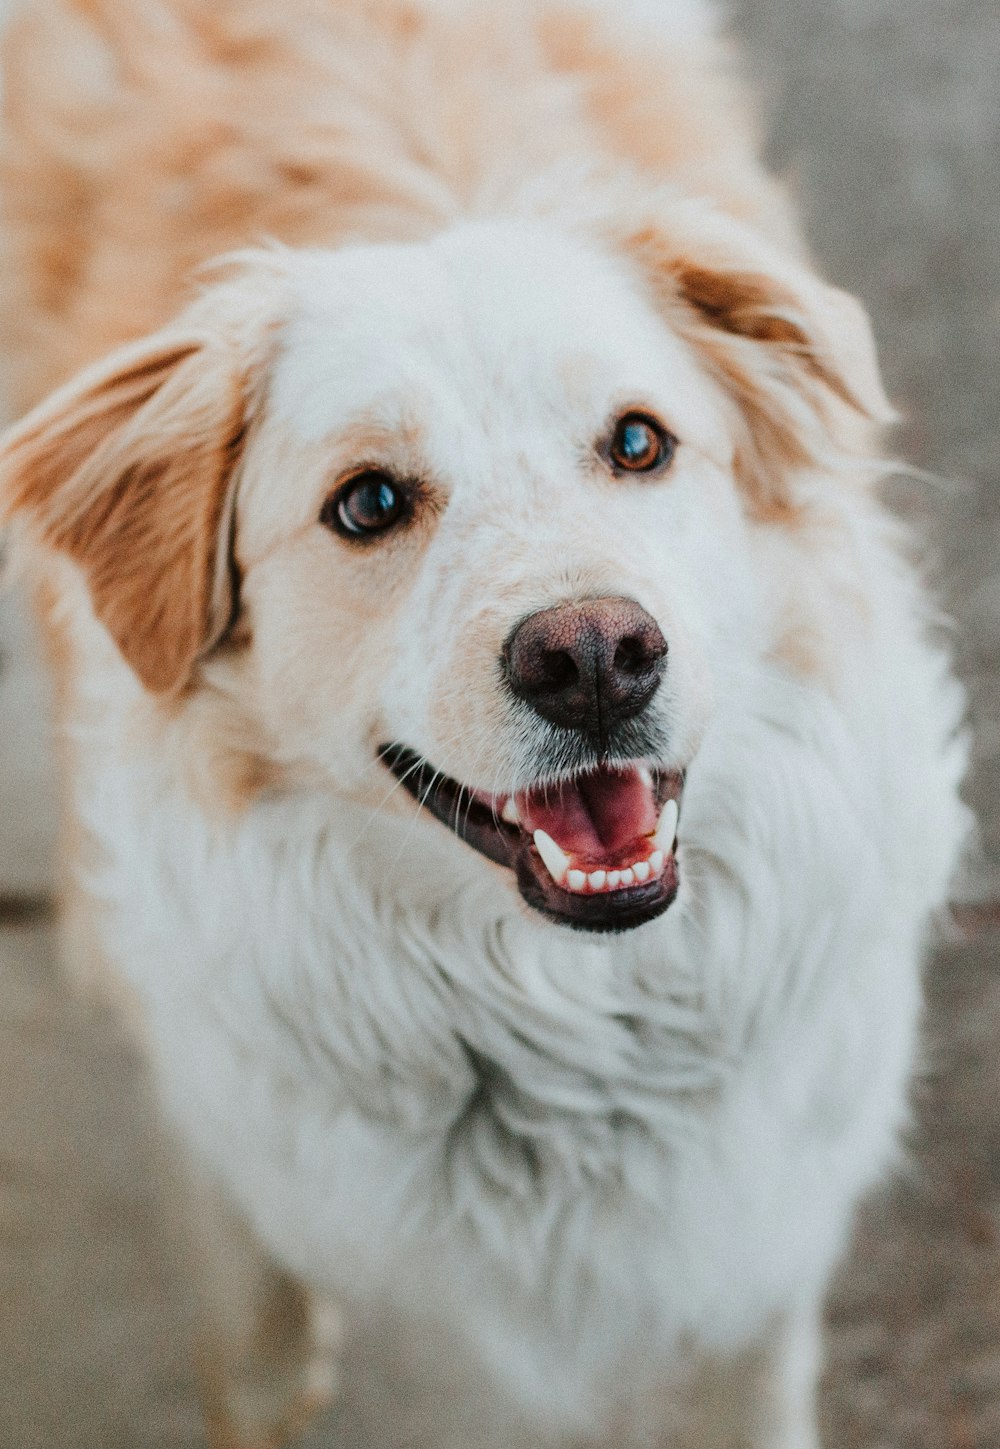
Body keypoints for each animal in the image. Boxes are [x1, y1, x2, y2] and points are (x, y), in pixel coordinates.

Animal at [0, 2, 968, 1449]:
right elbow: (259, 1358)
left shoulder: (758, 1243)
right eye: (367, 504)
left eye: (639, 442)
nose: (597, 660)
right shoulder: (230, 1172)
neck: (555, 1018)